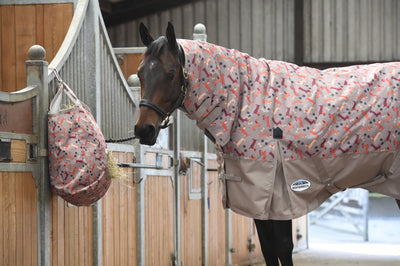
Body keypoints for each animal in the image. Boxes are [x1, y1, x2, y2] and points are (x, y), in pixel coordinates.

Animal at [134, 22, 400, 266]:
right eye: (140, 74)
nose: (143, 130)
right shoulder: (257, 200)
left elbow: (282, 246)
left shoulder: (280, 195)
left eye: (170, 73)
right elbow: (268, 248)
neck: (245, 99)